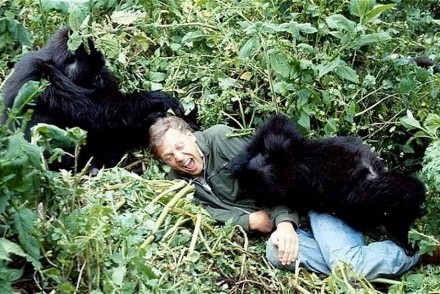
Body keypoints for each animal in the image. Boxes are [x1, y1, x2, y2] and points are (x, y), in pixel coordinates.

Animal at [0, 28, 198, 170]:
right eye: (92, 71)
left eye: (98, 69)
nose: (99, 80)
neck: (55, 64)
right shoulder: (42, 77)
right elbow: (101, 111)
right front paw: (158, 99)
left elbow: (114, 113)